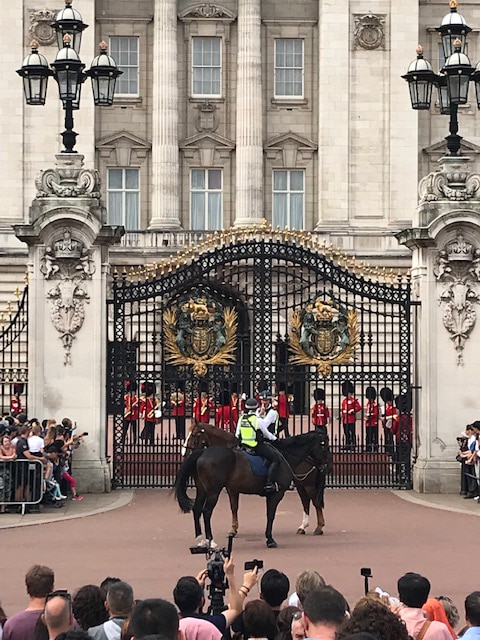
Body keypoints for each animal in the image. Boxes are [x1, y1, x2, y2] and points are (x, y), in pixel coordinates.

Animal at [175, 432, 330, 548]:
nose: (326, 465)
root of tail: (202, 453)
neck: (284, 455)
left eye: (193, 435)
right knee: (206, 512)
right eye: (324, 446)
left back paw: (201, 540)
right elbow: (270, 515)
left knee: (197, 509)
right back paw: (210, 541)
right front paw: (270, 539)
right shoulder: (276, 494)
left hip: (202, 491)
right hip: (213, 492)